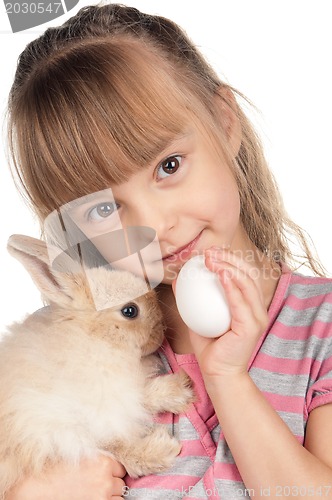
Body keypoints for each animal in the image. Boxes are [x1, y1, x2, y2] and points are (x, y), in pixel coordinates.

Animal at [0, 235, 195, 496]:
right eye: (130, 311)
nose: (161, 333)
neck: (94, 340)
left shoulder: (115, 394)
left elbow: (142, 395)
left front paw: (179, 390)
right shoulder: (63, 427)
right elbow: (116, 446)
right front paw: (161, 450)